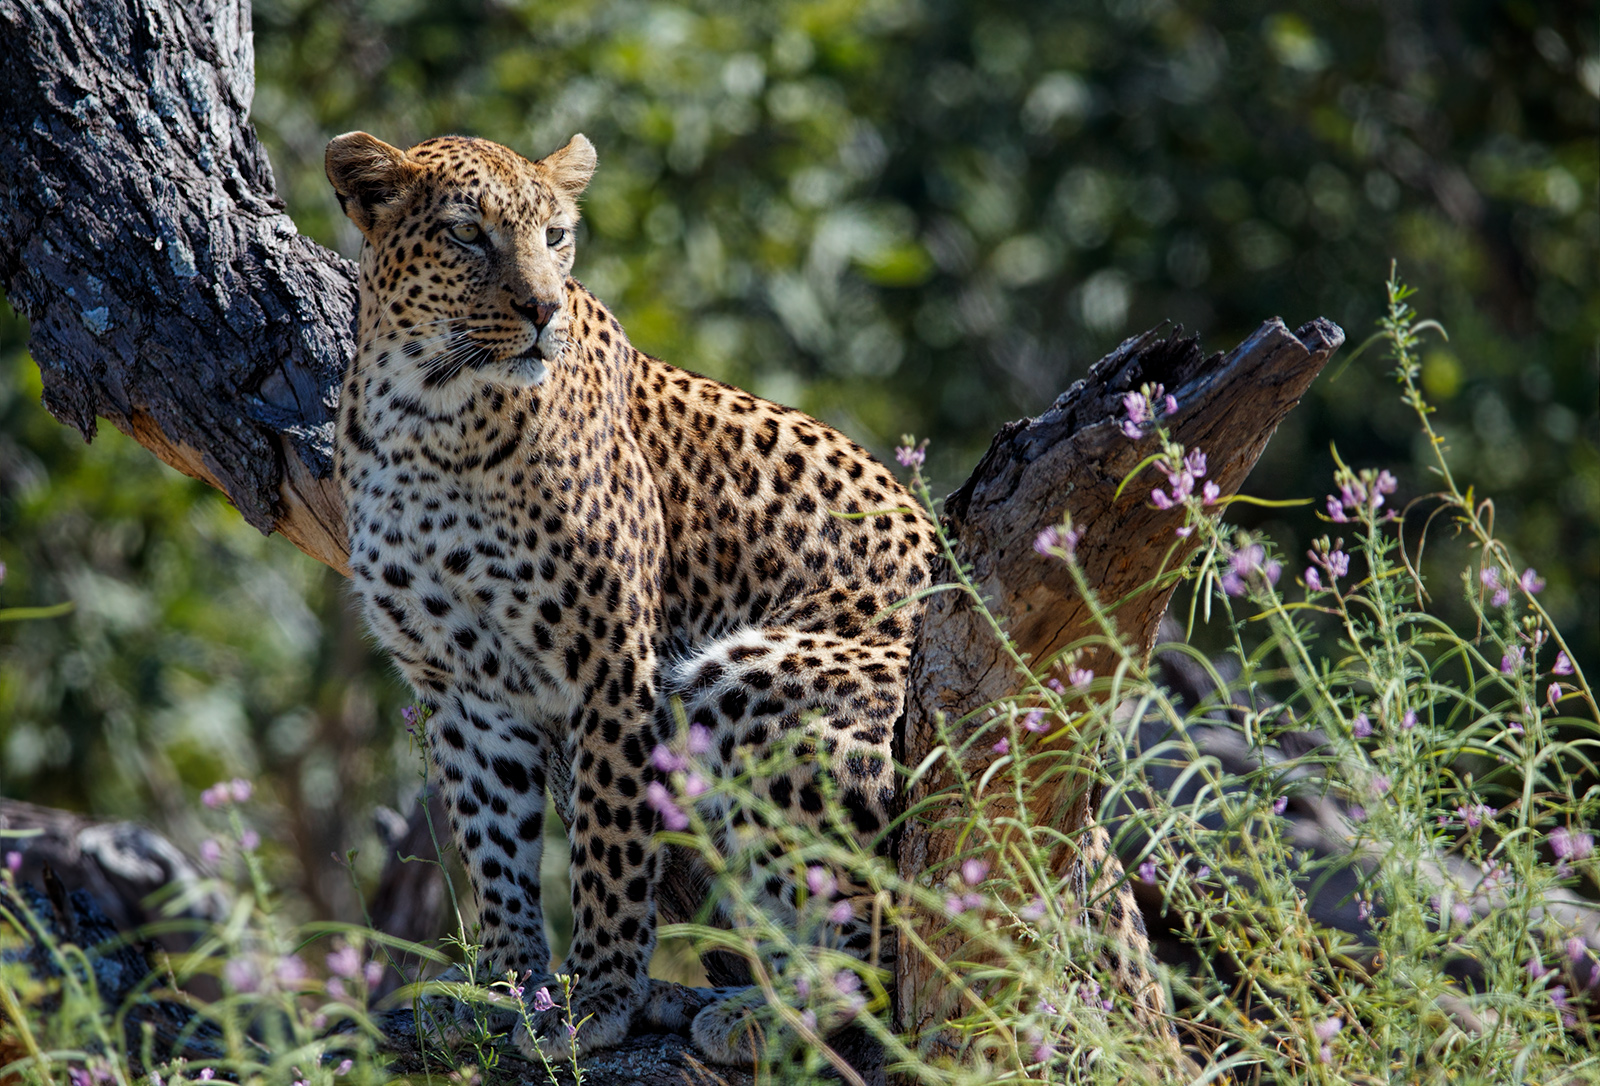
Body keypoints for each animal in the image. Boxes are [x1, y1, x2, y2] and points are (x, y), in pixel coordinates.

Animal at [325, 129, 1170, 1066]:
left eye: (556, 237)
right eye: (468, 236)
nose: (543, 311)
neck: (428, 413)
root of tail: (1086, 815)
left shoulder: (611, 661)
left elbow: (607, 844)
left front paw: (597, 999)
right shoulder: (460, 686)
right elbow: (493, 847)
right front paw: (506, 988)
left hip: (754, 681)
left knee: (901, 954)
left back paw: (752, 1013)